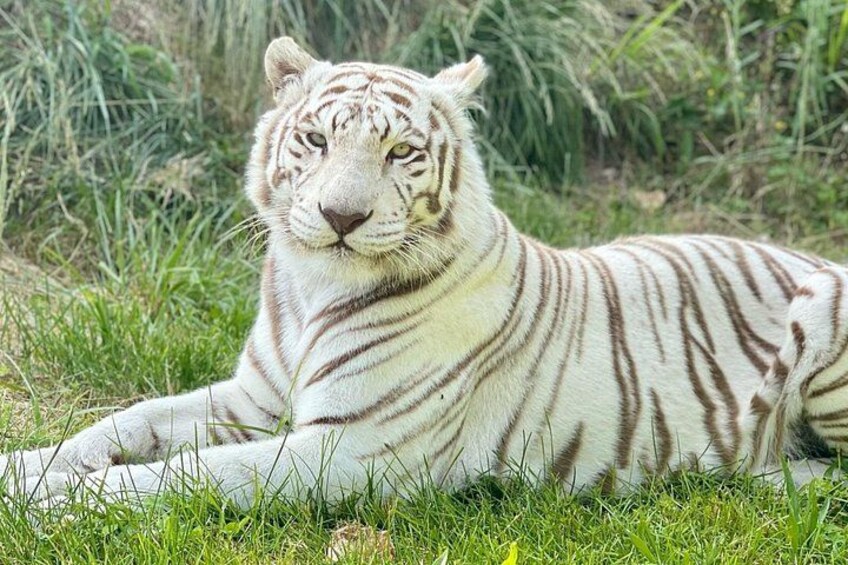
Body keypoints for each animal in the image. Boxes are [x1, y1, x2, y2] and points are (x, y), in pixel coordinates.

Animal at [2, 36, 847, 508]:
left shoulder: (347, 451)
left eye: (401, 152)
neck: (311, 288)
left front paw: (66, 503)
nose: (341, 215)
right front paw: (26, 472)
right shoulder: (258, 396)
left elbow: (187, 473)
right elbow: (125, 421)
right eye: (315, 139)